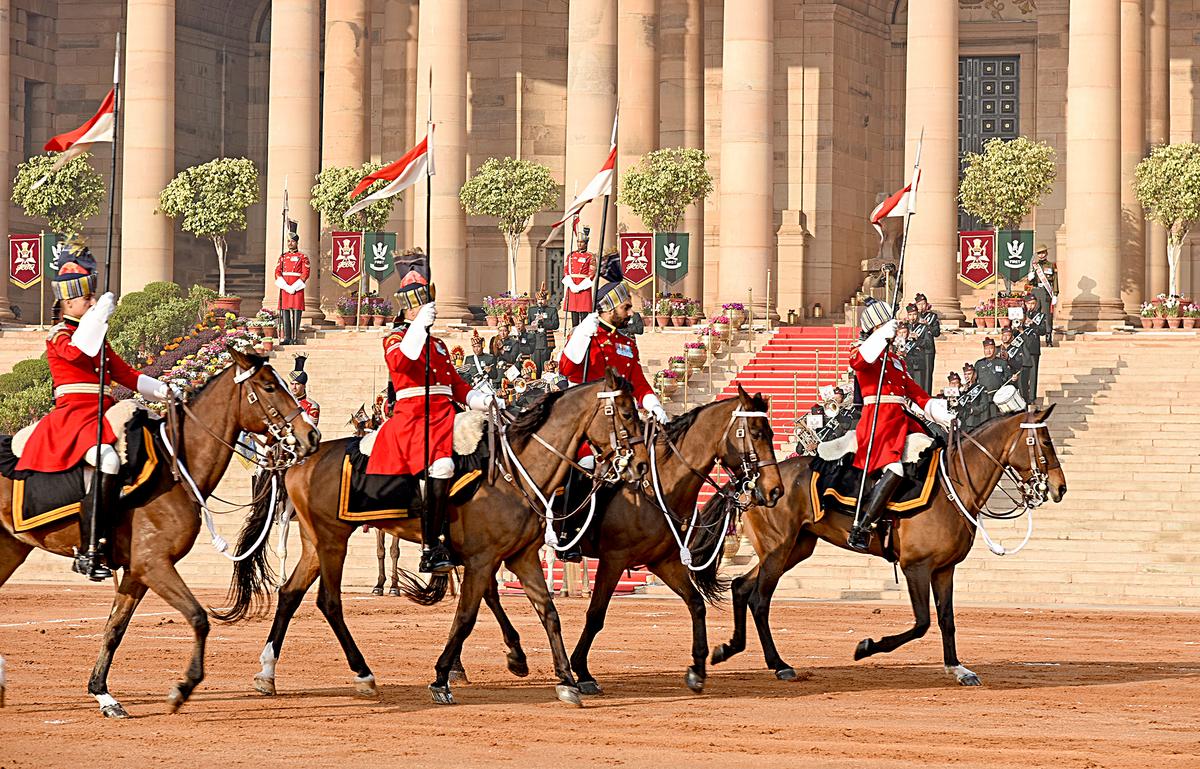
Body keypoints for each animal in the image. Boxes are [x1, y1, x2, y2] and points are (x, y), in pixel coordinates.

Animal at [0, 350, 321, 715]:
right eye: (269, 386)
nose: (311, 435)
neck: (176, 466)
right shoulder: (154, 564)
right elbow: (198, 617)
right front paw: (184, 686)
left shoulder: (137, 571)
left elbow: (115, 628)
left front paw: (103, 693)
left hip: (11, 548)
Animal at [225, 369, 652, 705]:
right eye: (626, 413)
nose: (640, 466)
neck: (514, 471)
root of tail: (299, 459)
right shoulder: (481, 560)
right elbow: (466, 616)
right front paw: (443, 677)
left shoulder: (521, 557)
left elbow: (548, 613)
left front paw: (565, 679)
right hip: (333, 541)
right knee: (328, 602)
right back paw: (363, 674)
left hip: (317, 543)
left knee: (289, 594)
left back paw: (267, 673)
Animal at [568, 386, 787, 691]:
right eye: (755, 433)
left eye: (771, 433)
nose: (776, 490)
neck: (655, 487)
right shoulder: (613, 561)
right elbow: (596, 615)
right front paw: (583, 672)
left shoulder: (664, 562)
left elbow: (696, 604)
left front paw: (697, 669)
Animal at [705, 405, 1065, 686]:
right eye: (1045, 441)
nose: (1060, 488)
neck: (953, 487)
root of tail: (753, 481)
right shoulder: (915, 567)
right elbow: (922, 623)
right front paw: (867, 646)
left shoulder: (944, 569)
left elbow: (946, 620)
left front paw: (957, 668)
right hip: (778, 551)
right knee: (759, 599)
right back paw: (778, 664)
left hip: (794, 549)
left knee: (741, 587)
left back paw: (729, 649)